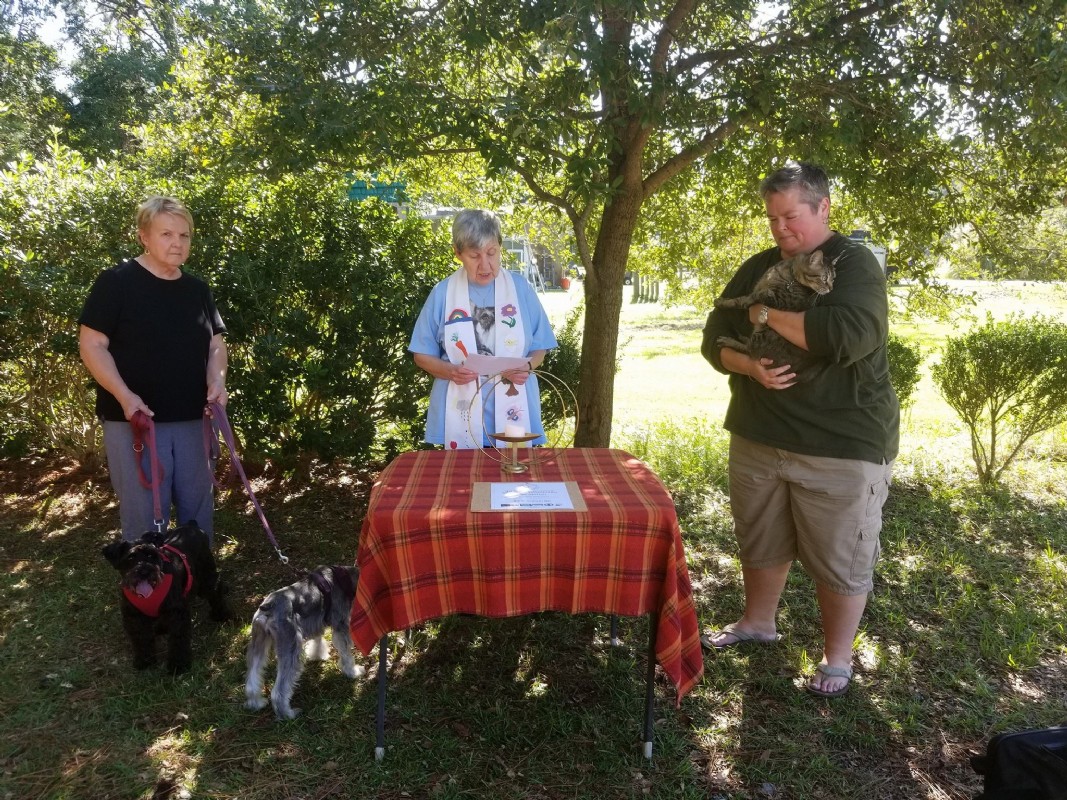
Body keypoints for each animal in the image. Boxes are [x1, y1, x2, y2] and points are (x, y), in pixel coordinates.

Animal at [101, 522, 231, 674]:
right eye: (131, 558)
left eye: (151, 555)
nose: (145, 571)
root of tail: (192, 525)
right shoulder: (134, 617)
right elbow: (141, 639)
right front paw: (144, 661)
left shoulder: (177, 613)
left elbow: (178, 639)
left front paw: (178, 665)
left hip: (206, 580)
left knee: (216, 589)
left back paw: (222, 614)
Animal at [245, 563, 367, 721]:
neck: (343, 578)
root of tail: (268, 607)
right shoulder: (341, 626)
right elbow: (346, 653)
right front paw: (353, 672)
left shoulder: (316, 623)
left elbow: (317, 641)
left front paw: (317, 655)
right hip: (290, 648)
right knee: (279, 692)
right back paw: (288, 715)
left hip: (258, 642)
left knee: (253, 676)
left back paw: (256, 703)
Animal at [717, 250, 832, 381]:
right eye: (824, 278)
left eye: (833, 279)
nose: (830, 288)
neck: (789, 274)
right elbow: (739, 299)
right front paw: (723, 302)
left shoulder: (777, 300)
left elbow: (749, 298)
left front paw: (727, 303)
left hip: (766, 335)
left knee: (750, 351)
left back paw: (728, 341)